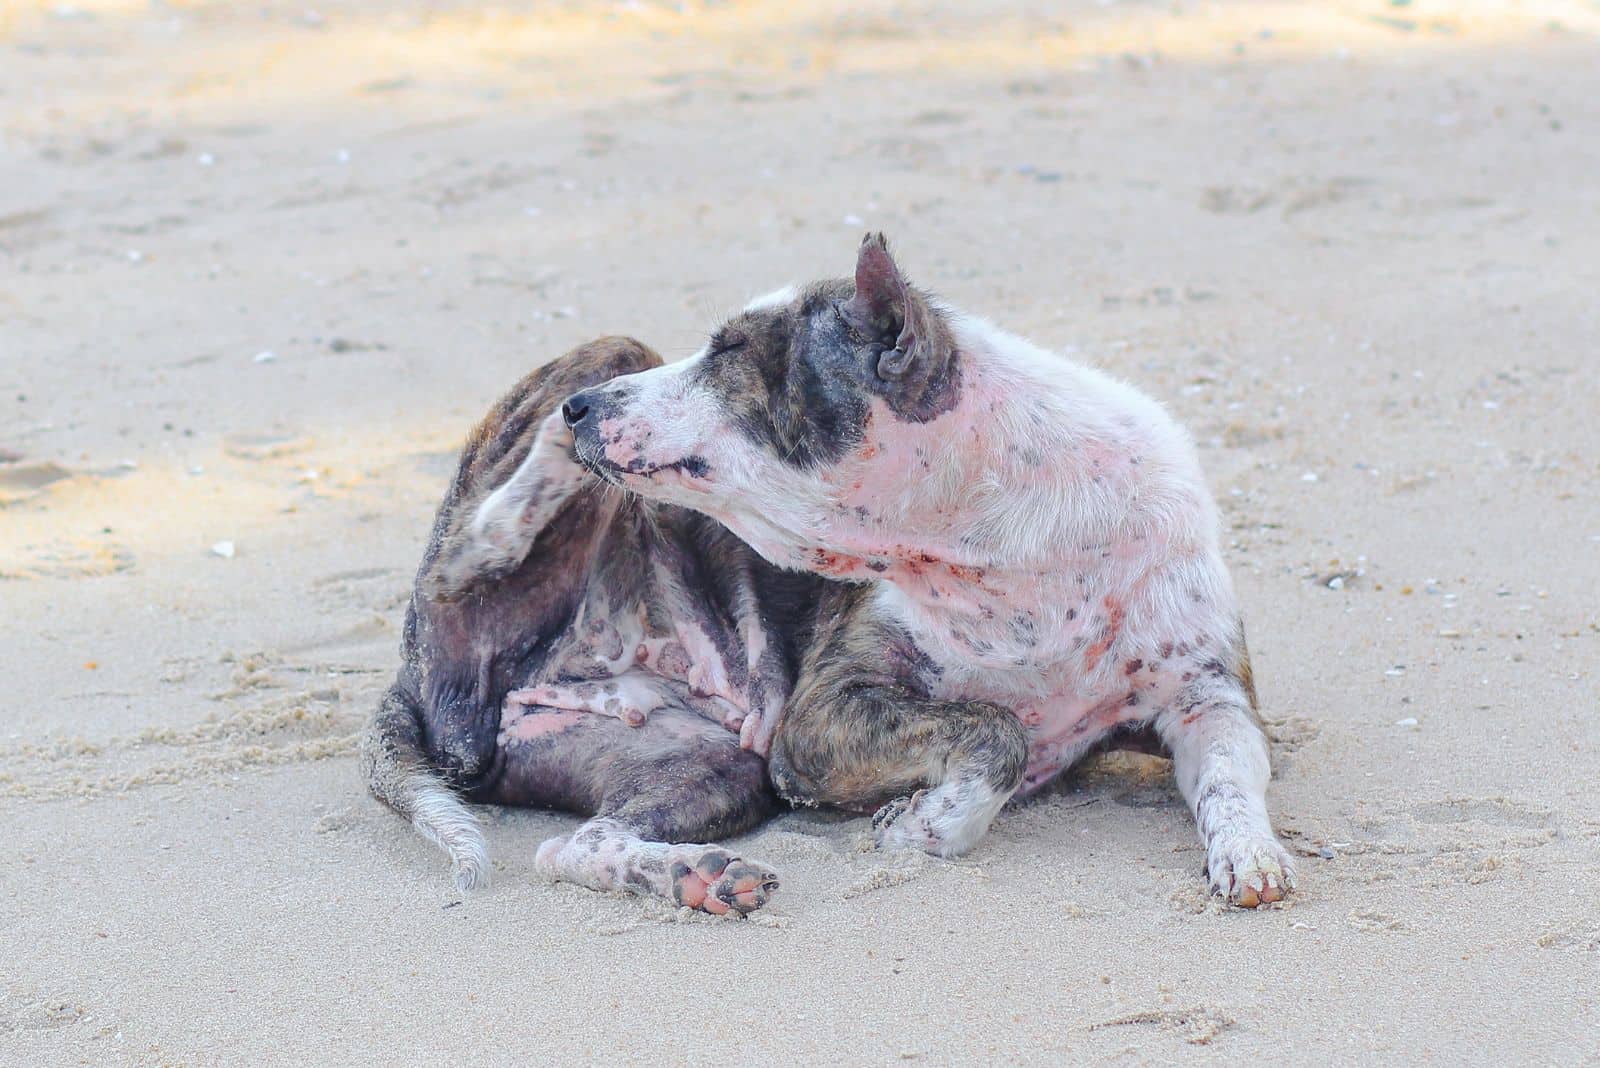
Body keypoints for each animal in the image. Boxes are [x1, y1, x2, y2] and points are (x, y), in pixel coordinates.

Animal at [556, 235, 1292, 908]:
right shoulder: (822, 715)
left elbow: (1231, 775)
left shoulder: (1208, 693)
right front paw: (927, 823)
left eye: (731, 350)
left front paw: (1249, 853)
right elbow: (997, 729)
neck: (1018, 558)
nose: (577, 406)